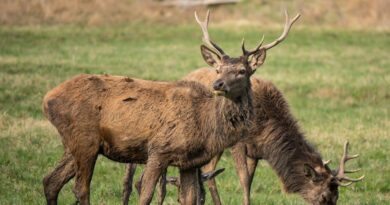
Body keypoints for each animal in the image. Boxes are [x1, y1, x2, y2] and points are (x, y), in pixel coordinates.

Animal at [40, 9, 284, 205]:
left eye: (242, 71)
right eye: (218, 69)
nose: (218, 84)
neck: (207, 125)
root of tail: (47, 99)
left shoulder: (189, 162)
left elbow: (189, 198)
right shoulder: (158, 149)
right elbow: (145, 195)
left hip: (76, 143)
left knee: (50, 180)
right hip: (85, 140)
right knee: (80, 188)